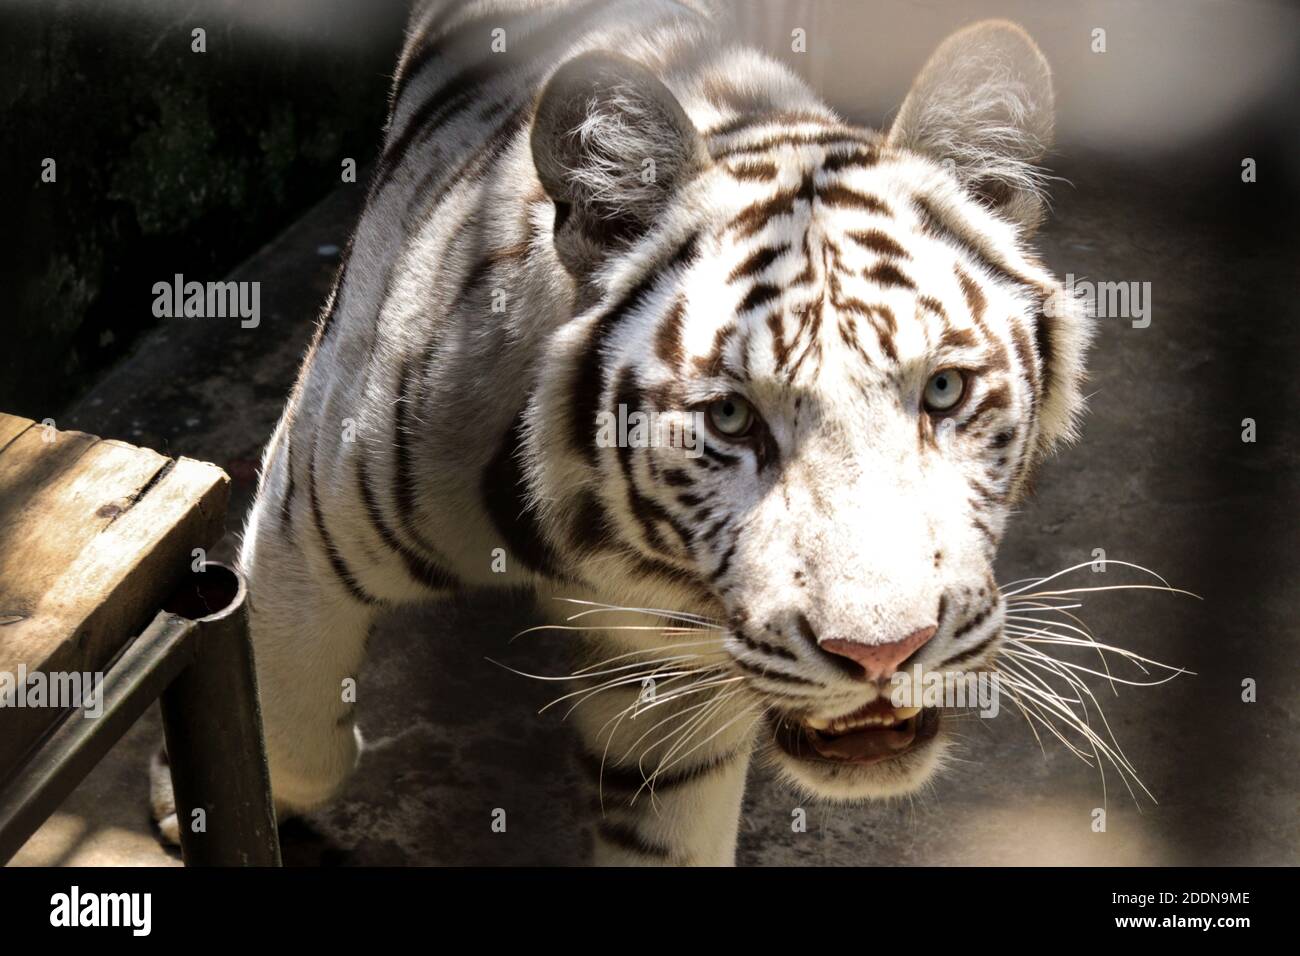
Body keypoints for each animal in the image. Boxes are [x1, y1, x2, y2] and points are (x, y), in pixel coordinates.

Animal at [149, 0, 1086, 868]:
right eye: (731, 417)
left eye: (944, 390)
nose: (885, 654)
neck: (599, 552)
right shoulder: (305, 522)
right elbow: (286, 730)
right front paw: (181, 799)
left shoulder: (681, 680)